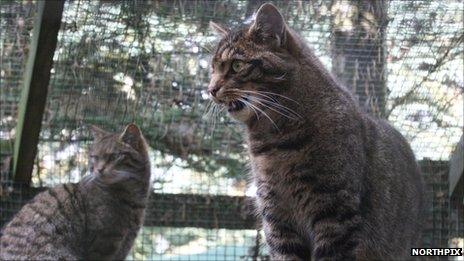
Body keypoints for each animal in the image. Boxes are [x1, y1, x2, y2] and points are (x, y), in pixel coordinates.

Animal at [208, 4, 426, 260]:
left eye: (236, 65)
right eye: (212, 69)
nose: (210, 89)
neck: (273, 142)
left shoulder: (335, 215)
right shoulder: (277, 220)